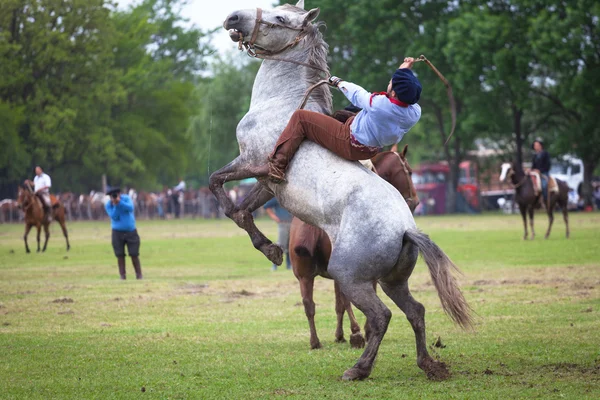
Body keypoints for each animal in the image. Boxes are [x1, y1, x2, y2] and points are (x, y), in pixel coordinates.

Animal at [290, 147, 418, 350]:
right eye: (410, 171)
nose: (415, 201)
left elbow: (338, 304)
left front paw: (340, 334)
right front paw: (362, 330)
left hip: (304, 276)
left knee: (309, 304)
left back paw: (315, 341)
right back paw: (356, 332)